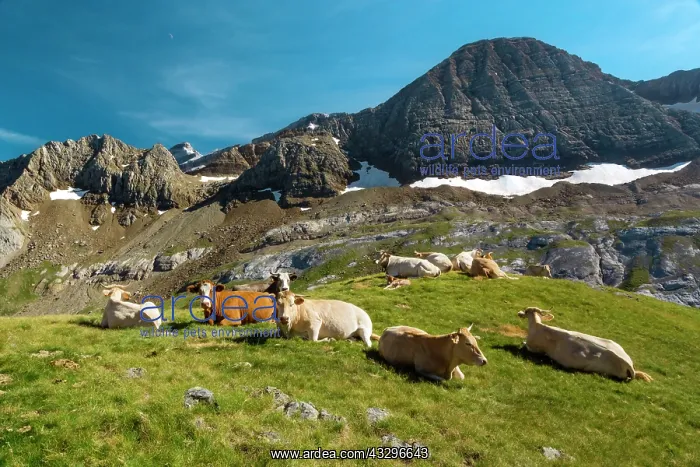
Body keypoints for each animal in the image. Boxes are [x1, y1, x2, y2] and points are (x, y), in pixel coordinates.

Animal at [517, 307, 652, 382]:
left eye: (526, 311)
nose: (519, 313)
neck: (537, 326)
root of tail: (628, 364)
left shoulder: (533, 348)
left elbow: (524, 344)